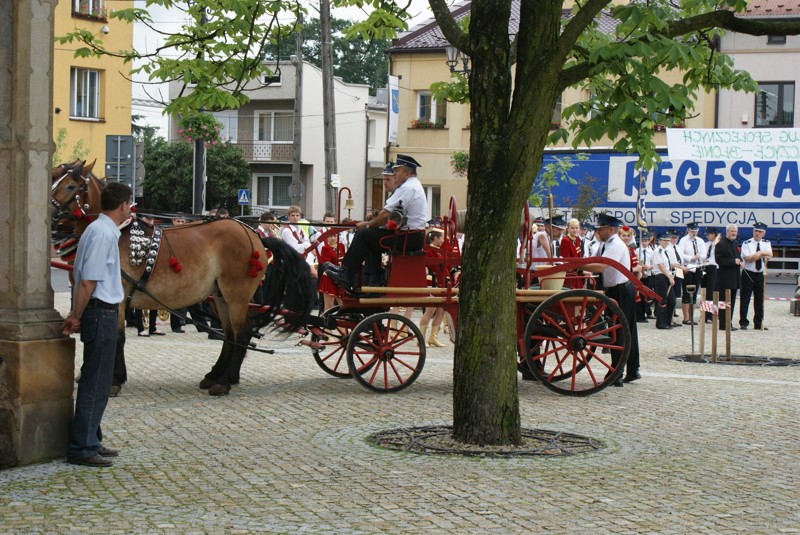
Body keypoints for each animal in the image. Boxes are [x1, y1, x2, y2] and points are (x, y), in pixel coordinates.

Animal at [51, 162, 314, 396]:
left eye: (71, 186)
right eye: (54, 179)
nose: (52, 215)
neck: (118, 232)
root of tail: (255, 235)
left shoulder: (117, 296)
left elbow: (116, 337)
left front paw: (113, 380)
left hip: (237, 295)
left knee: (242, 332)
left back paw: (224, 382)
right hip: (220, 296)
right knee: (229, 334)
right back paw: (216, 375)